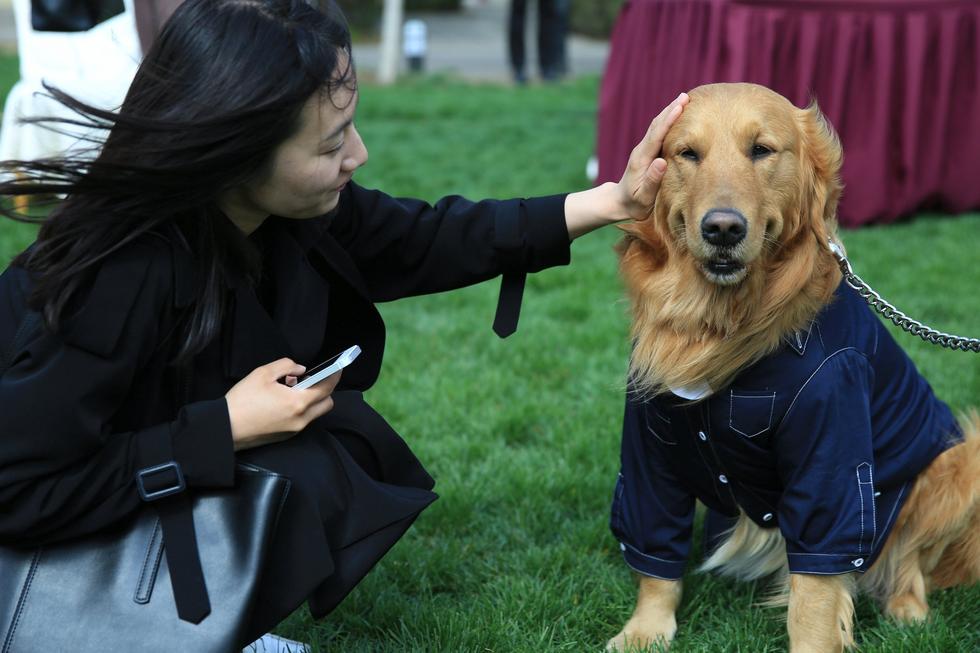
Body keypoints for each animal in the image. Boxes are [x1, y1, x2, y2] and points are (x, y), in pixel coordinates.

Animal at [608, 84, 976, 648]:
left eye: (761, 150)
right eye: (687, 154)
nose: (722, 228)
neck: (721, 323)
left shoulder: (831, 453)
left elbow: (815, 591)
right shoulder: (650, 446)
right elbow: (655, 555)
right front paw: (645, 630)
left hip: (959, 463)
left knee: (910, 564)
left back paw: (907, 611)